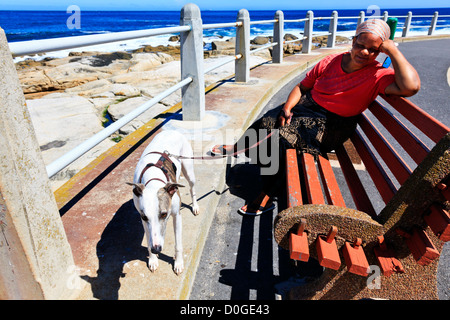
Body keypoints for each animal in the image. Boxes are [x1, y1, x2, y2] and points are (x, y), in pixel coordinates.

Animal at [126, 130, 197, 276]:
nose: (156, 249)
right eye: (144, 217)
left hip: (188, 169)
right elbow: (148, 239)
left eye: (164, 214)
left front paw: (178, 263)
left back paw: (195, 206)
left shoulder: (176, 216)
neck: (154, 178)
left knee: (192, 187)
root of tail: (172, 130)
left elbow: (178, 244)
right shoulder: (143, 219)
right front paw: (153, 259)